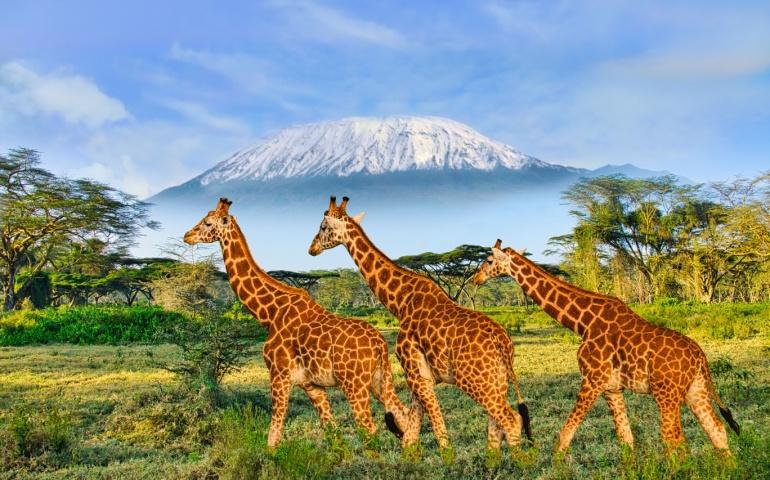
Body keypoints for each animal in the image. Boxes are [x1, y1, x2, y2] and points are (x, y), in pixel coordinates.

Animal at [183, 198, 411, 451]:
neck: (269, 314)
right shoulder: (311, 385)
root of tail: (379, 343)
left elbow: (273, 436)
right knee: (403, 414)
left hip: (354, 384)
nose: (187, 235)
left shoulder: (279, 375)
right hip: (380, 379)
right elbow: (332, 431)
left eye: (207, 222)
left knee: (370, 430)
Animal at [308, 196, 532, 462]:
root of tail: (503, 343)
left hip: (473, 379)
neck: (400, 302)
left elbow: (436, 430)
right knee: (497, 423)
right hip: (497, 378)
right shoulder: (418, 373)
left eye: (322, 226)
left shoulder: (415, 373)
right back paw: (492, 464)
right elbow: (411, 434)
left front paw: (447, 462)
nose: (311, 249)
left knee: (511, 419)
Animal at [472, 239, 740, 456]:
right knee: (717, 429)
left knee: (674, 440)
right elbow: (626, 439)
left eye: (488, 260)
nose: (475, 279)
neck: (583, 323)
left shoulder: (592, 379)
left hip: (667, 394)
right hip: (696, 389)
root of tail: (700, 357)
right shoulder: (612, 388)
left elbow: (565, 434)